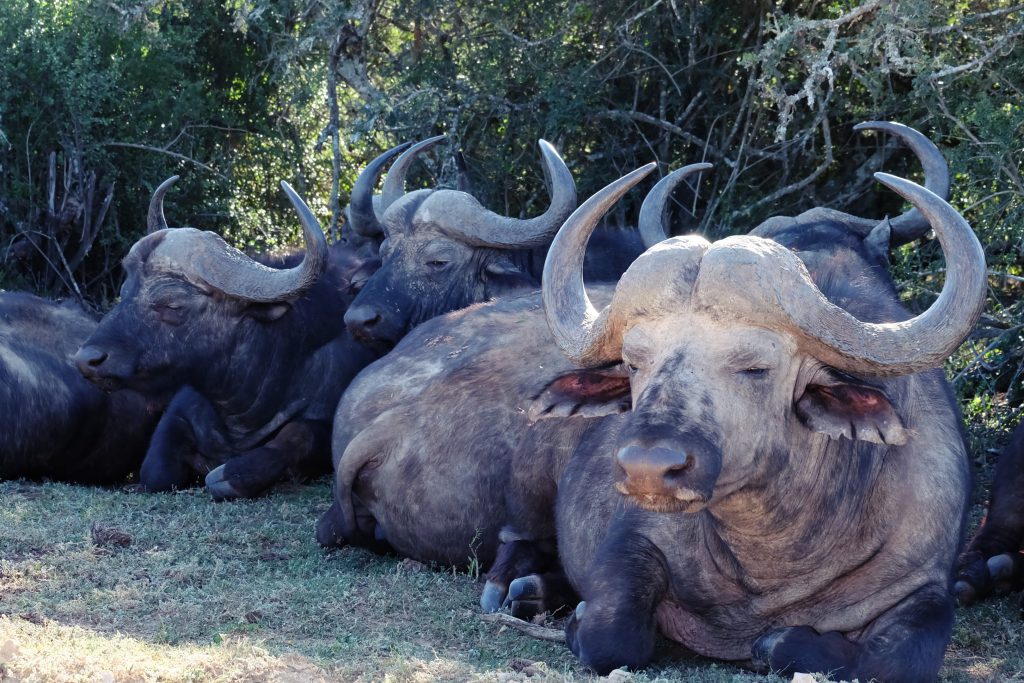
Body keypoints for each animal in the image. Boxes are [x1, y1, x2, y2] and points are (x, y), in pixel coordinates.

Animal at [74, 176, 380, 499]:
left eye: (172, 304)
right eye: (124, 293)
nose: (87, 360)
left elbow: (298, 436)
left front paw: (231, 474)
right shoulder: (177, 412)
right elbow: (156, 472)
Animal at [540, 162, 987, 679]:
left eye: (755, 367)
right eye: (634, 363)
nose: (647, 469)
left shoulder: (927, 585)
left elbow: (893, 660)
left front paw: (782, 641)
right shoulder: (631, 541)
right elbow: (610, 634)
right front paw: (577, 621)